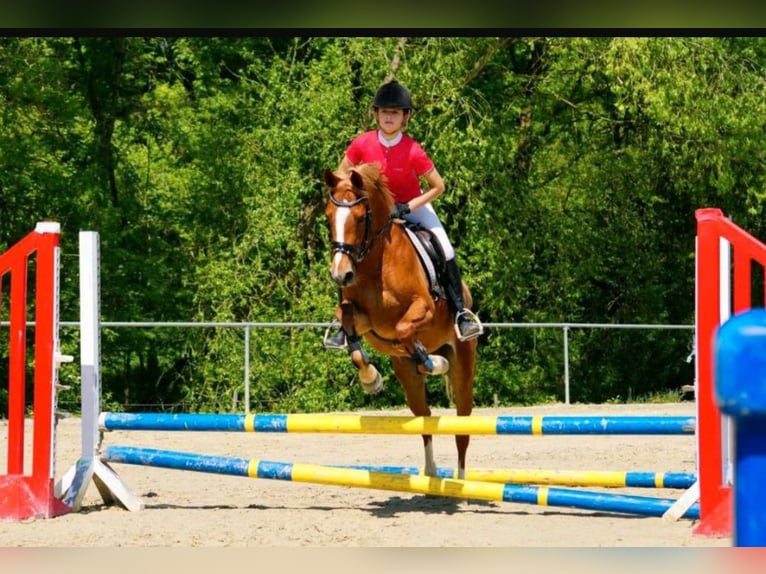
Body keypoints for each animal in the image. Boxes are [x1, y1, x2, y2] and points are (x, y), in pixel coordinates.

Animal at [320, 163, 476, 482]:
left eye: (360, 217)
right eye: (328, 216)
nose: (341, 275)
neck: (375, 264)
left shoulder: (423, 308)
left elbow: (404, 328)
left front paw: (432, 362)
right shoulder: (363, 319)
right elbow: (349, 326)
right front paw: (371, 379)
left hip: (464, 366)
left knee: (461, 426)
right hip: (406, 374)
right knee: (424, 418)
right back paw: (430, 475)